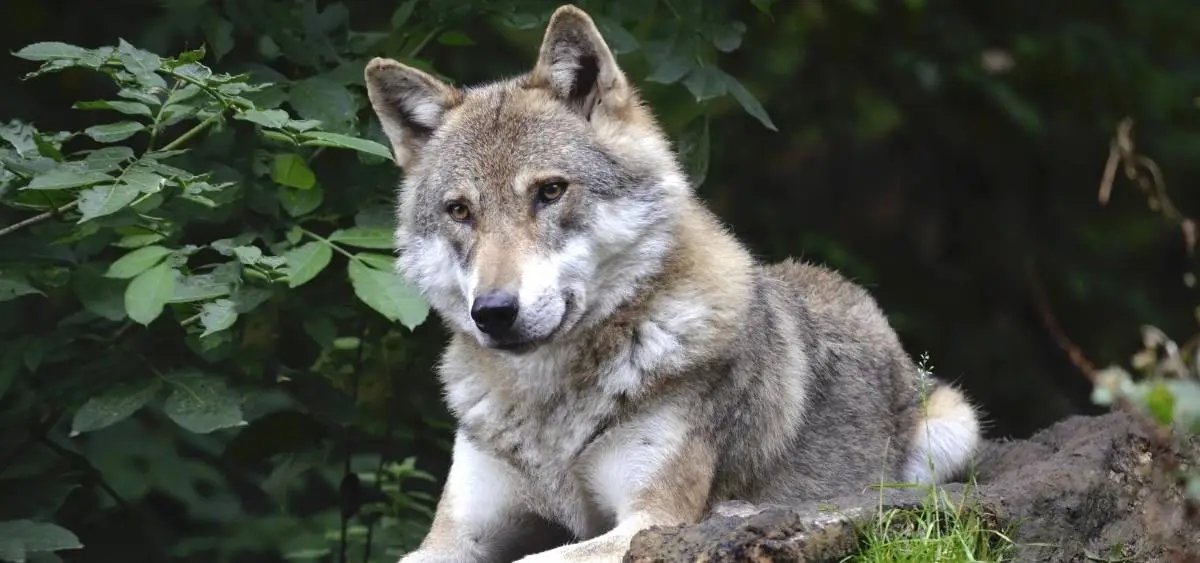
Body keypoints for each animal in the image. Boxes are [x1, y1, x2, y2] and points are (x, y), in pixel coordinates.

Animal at [363, 4, 983, 562]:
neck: (550, 407)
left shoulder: (651, 520)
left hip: (951, 432)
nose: (492, 311)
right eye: (460, 211)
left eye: (550, 191)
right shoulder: (454, 536)